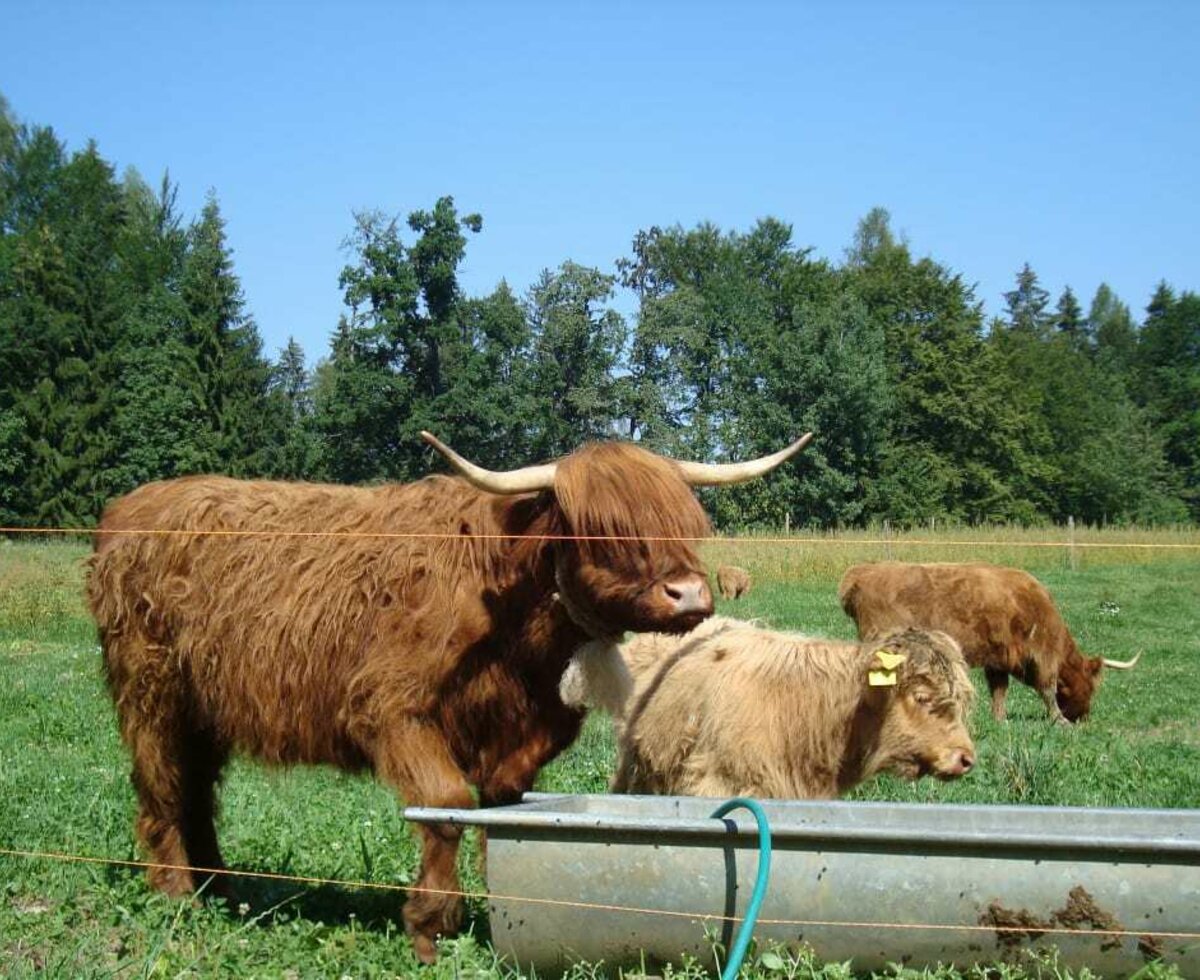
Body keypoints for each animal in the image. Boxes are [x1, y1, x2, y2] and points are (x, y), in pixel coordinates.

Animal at [88, 429, 811, 964]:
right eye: (598, 527)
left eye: (682, 521)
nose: (689, 594)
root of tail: (131, 508)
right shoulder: (391, 708)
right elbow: (443, 805)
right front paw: (429, 923)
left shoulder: (528, 732)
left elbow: (499, 809)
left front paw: (498, 907)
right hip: (151, 691)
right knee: (161, 783)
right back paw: (177, 891)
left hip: (205, 707)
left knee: (196, 787)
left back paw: (224, 884)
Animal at [840, 561, 1137, 724]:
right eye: (1092, 688)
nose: (1084, 717)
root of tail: (860, 573)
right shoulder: (1042, 654)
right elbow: (1048, 687)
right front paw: (1059, 719)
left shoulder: (998, 659)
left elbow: (999, 690)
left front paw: (999, 719)